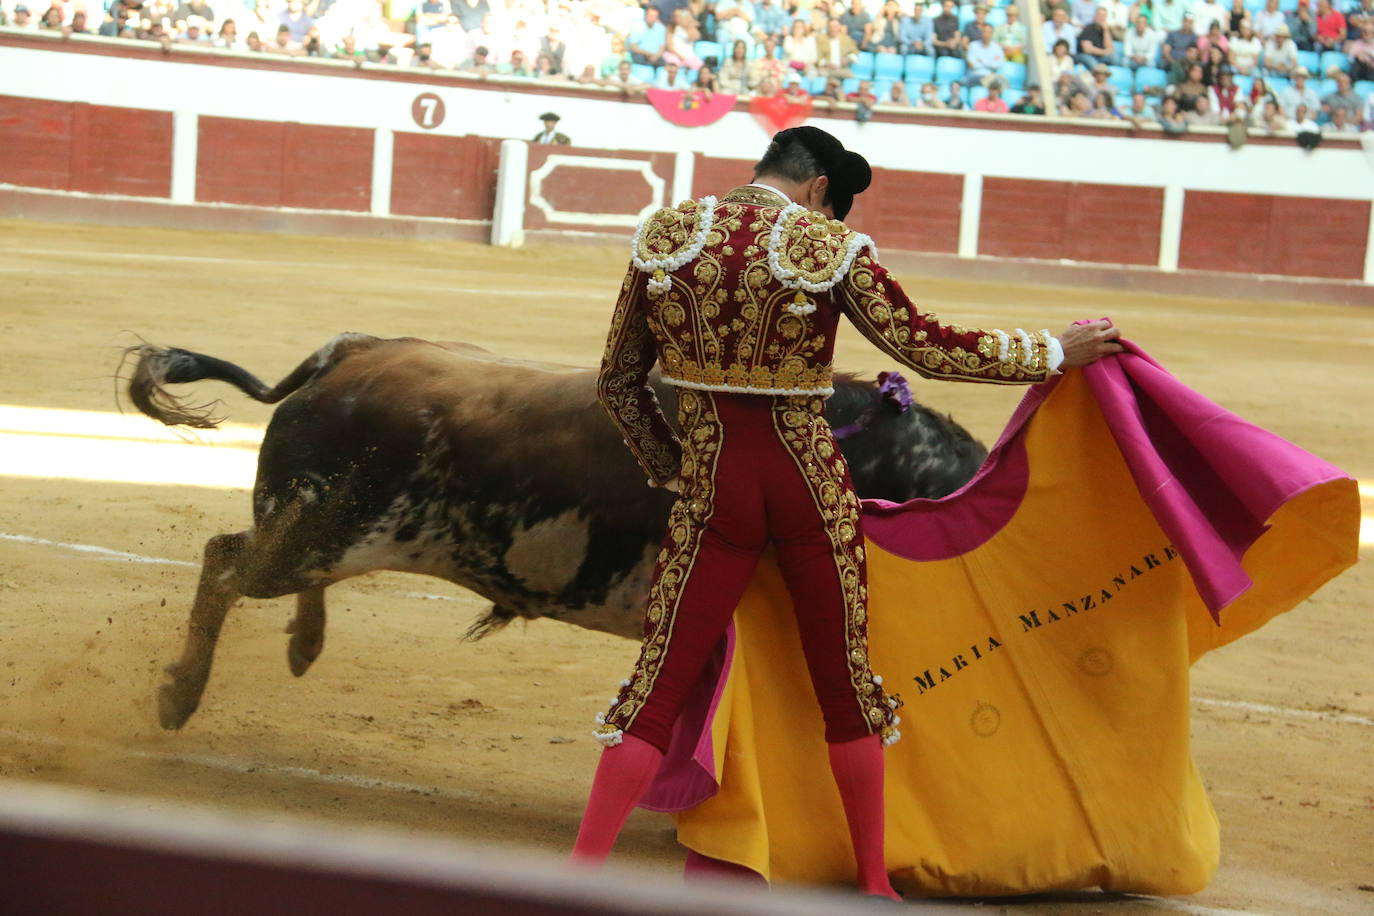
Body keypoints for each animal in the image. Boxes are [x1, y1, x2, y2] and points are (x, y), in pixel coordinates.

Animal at [126, 336, 989, 730]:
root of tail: (352, 354)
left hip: (323, 530)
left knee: (270, 572)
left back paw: (302, 648)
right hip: (321, 530)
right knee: (229, 564)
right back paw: (178, 694)